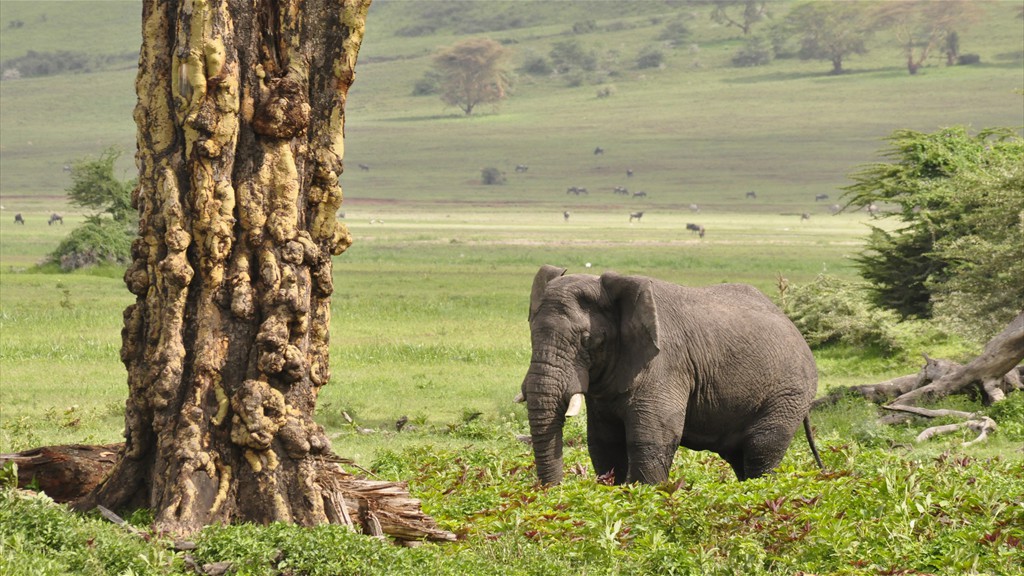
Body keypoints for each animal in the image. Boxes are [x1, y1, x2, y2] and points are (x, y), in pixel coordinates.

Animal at [520, 264, 823, 483]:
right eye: (531, 332)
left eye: (587, 340)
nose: (555, 491)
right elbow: (604, 442)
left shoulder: (665, 363)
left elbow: (653, 437)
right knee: (740, 458)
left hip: (789, 394)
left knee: (761, 452)